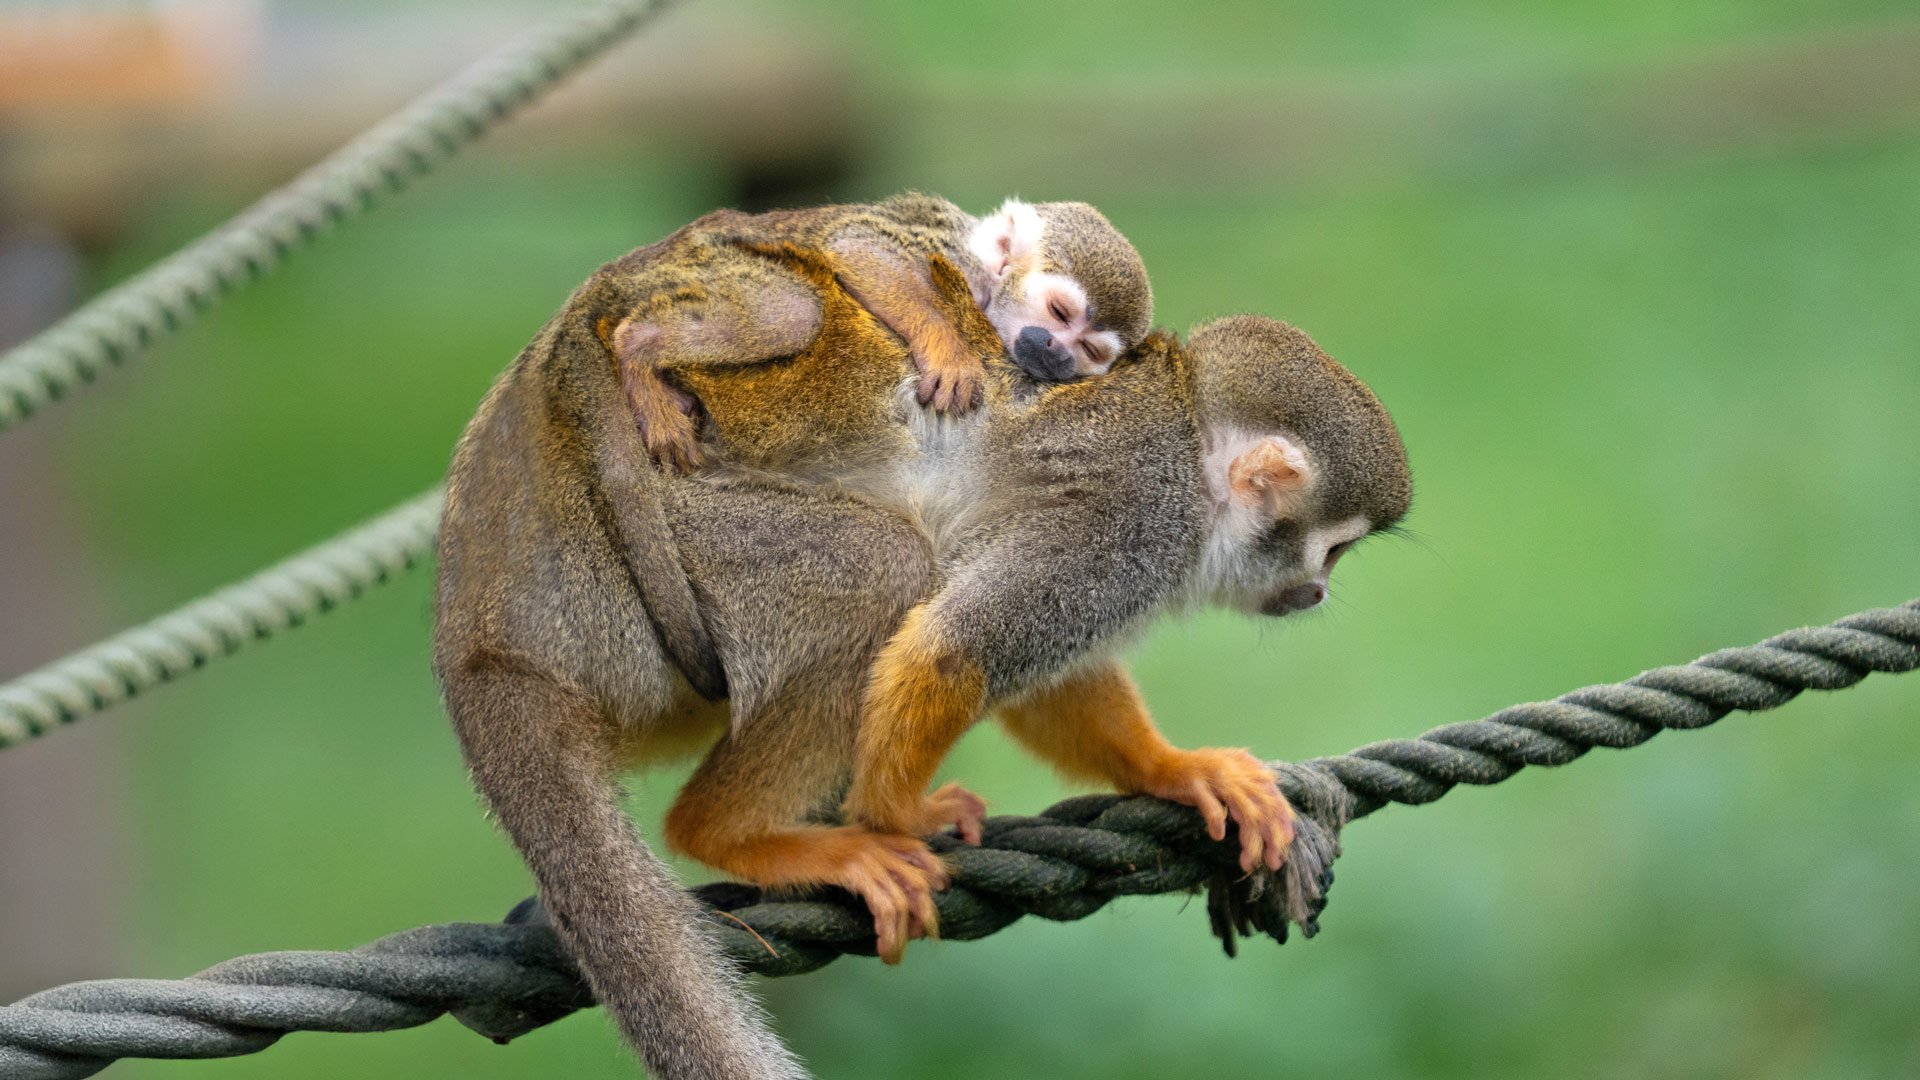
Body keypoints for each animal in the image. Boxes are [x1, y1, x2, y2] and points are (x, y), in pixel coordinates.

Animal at [607, 193, 1153, 472]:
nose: (1056, 352)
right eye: (1059, 313)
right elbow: (859, 247)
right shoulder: (956, 261)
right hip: (708, 264)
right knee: (793, 311)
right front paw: (949, 354)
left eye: (1089, 349)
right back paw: (638, 348)